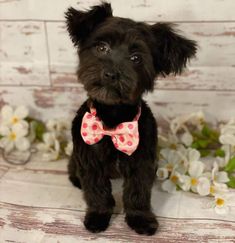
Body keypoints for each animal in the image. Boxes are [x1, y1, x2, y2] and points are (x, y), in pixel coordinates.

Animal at [64, 1, 196, 235]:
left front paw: (141, 220)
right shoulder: (89, 159)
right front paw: (98, 216)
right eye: (102, 47)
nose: (111, 74)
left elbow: (138, 192)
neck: (112, 120)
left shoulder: (142, 160)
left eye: (136, 58)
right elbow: (97, 191)